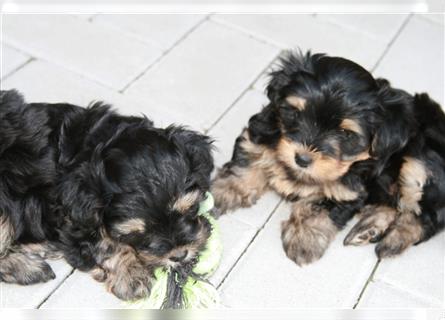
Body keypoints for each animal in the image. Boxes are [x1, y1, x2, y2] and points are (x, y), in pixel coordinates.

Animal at [0, 90, 215, 300]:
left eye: (190, 208)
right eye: (135, 234)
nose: (179, 255)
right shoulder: (75, 218)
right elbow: (106, 244)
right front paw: (131, 274)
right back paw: (27, 267)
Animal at [212, 50, 444, 264]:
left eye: (345, 133)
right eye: (295, 113)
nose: (302, 159)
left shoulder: (348, 189)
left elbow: (318, 206)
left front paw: (305, 238)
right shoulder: (258, 134)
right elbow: (247, 162)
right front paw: (223, 192)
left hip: (418, 166)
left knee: (426, 216)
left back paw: (393, 240)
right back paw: (369, 228)